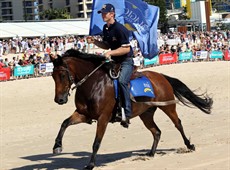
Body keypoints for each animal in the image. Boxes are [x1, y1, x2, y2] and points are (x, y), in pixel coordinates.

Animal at [49, 48, 212, 169]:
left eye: (62, 74)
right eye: (52, 76)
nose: (59, 100)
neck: (94, 84)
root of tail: (160, 76)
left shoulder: (103, 118)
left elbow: (96, 142)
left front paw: (90, 164)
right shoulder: (84, 114)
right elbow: (65, 123)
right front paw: (57, 146)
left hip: (168, 107)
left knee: (178, 124)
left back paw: (189, 145)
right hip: (146, 114)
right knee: (156, 132)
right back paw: (151, 153)